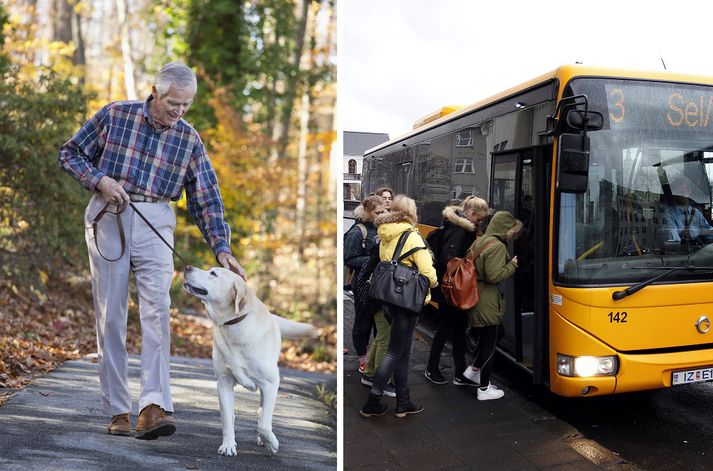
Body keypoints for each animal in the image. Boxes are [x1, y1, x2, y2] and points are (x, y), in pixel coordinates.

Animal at [182, 264, 318, 456]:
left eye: (213, 273)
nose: (187, 267)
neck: (234, 325)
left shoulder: (270, 384)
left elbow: (264, 423)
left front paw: (271, 442)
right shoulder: (224, 382)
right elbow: (227, 418)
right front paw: (228, 445)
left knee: (262, 414)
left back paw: (264, 439)